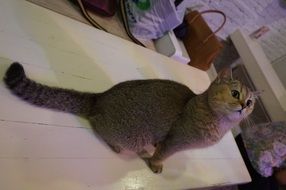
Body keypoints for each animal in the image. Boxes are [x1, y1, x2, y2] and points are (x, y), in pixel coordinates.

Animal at [3, 62, 256, 174]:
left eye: (251, 103)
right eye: (235, 94)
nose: (243, 106)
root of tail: (100, 97)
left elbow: (158, 147)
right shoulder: (175, 141)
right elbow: (162, 153)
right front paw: (156, 163)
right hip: (132, 136)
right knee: (97, 124)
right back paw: (121, 147)